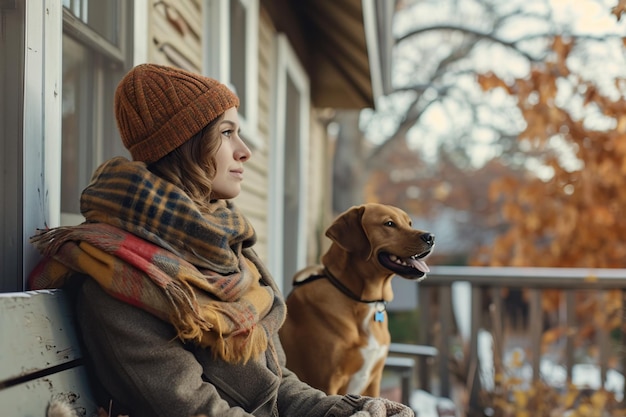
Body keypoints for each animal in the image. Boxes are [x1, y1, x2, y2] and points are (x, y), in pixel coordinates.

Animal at [280, 203, 434, 394]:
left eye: (410, 223)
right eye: (389, 223)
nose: (431, 237)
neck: (362, 300)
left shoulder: (374, 381)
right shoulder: (325, 382)